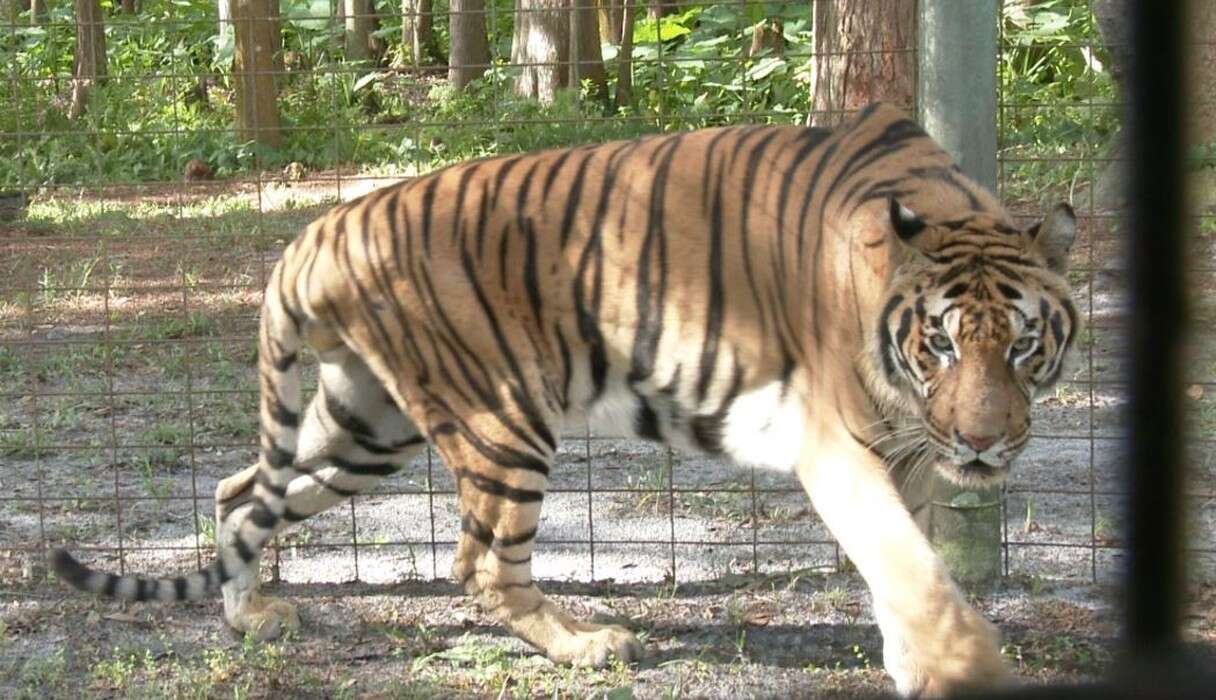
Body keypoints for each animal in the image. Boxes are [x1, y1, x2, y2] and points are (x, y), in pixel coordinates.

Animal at [47, 102, 1079, 695]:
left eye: (1024, 347)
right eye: (940, 345)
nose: (982, 444)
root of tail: (317, 230)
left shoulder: (903, 450)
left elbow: (907, 568)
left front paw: (914, 661)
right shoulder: (838, 442)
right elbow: (910, 565)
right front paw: (964, 672)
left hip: (367, 428)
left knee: (237, 495)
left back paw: (250, 615)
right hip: (500, 418)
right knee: (481, 565)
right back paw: (586, 646)